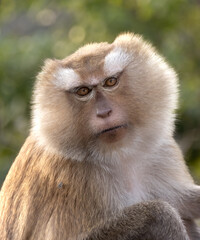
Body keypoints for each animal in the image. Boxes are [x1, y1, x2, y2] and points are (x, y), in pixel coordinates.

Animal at [0, 32, 200, 240]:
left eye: (110, 82)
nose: (104, 112)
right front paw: (159, 215)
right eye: (83, 91)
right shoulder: (68, 178)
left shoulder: (160, 151)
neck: (118, 155)